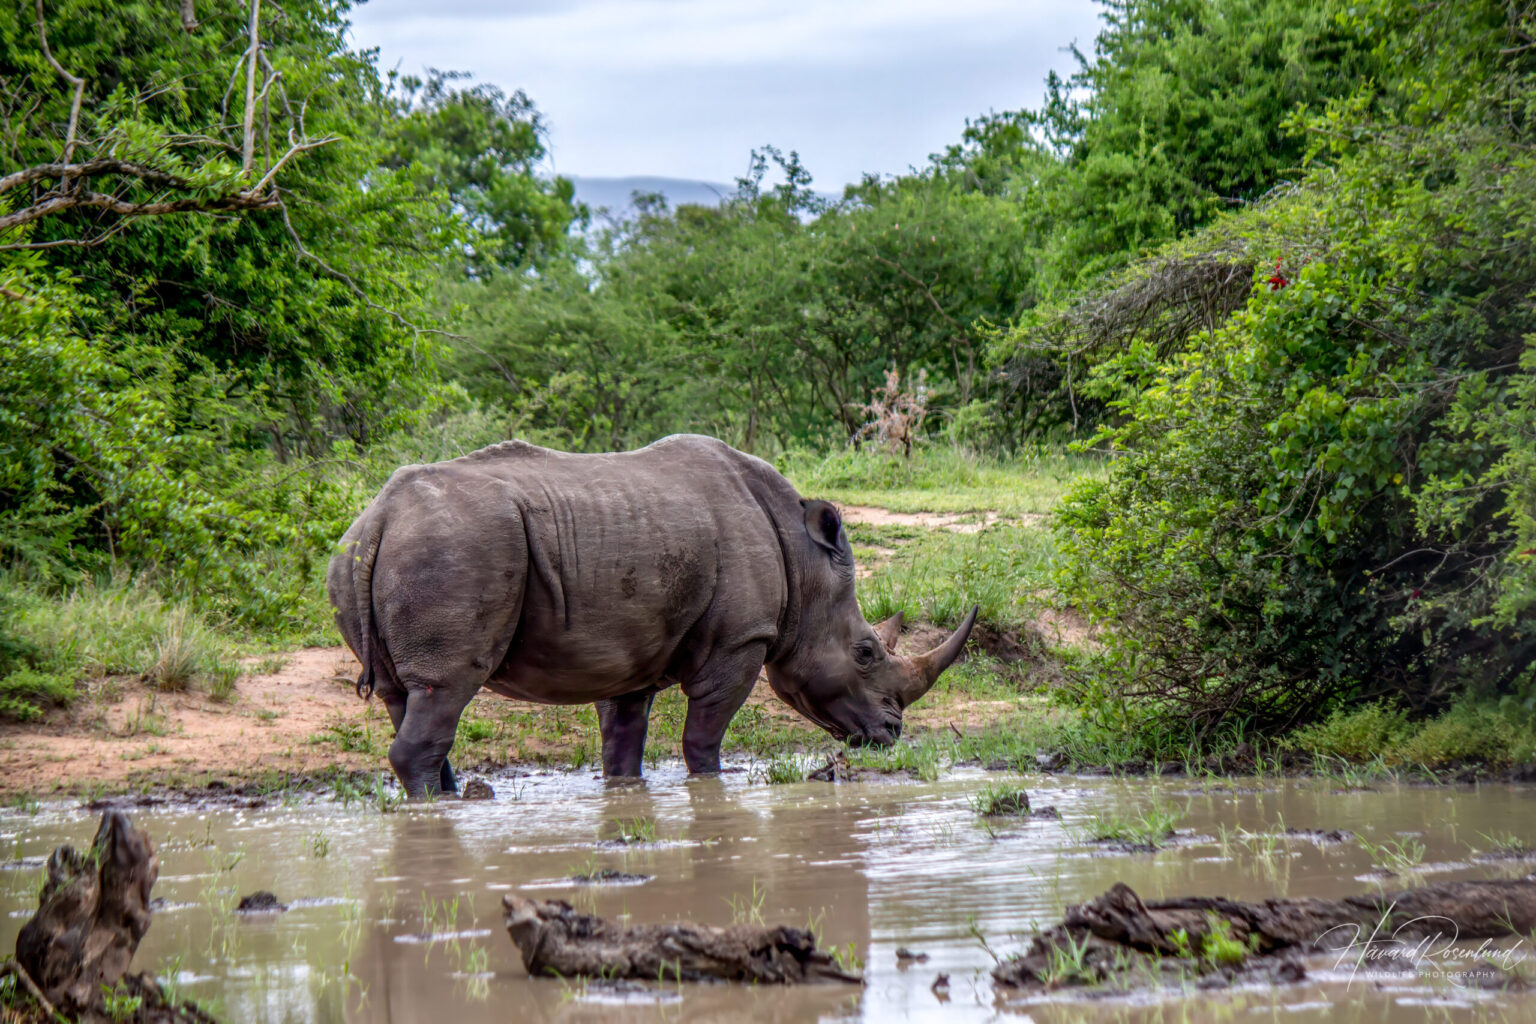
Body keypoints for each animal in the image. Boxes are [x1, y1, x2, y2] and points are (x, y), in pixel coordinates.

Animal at [326, 434, 977, 797]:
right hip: (455, 549)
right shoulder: (740, 641)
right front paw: (713, 787)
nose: (891, 734)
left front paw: (626, 794)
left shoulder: (625, 654)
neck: (804, 565)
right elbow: (703, 736)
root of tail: (381, 517)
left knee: (405, 697)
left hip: (365, 554)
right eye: (865, 652)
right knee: (446, 690)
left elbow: (622, 740)